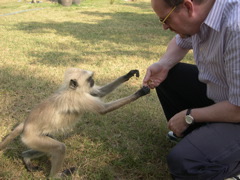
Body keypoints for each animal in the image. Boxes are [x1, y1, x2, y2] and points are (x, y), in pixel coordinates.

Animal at [0, 68, 150, 179]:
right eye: (89, 79)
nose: (93, 80)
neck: (72, 90)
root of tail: (26, 123)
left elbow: (100, 92)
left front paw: (128, 75)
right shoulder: (79, 98)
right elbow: (103, 110)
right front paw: (140, 92)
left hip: (40, 137)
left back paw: (26, 158)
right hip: (31, 137)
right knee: (60, 148)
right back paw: (55, 176)